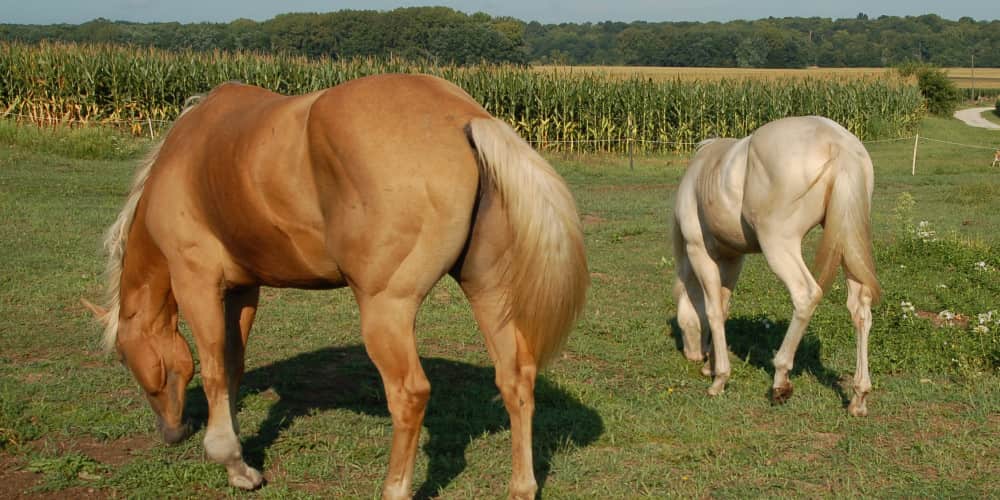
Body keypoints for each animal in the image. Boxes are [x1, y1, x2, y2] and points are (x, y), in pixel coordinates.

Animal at [82, 74, 589, 499]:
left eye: (125, 357)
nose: (172, 433)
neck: (186, 159)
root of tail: (466, 118)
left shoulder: (197, 280)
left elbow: (213, 369)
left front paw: (234, 464)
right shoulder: (244, 290)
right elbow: (233, 363)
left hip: (387, 310)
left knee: (410, 394)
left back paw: (393, 490)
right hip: (489, 292)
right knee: (515, 378)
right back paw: (521, 486)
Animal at [671, 115, 881, 416]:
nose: (693, 355)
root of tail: (838, 143)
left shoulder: (700, 252)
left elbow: (712, 310)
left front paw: (719, 379)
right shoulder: (733, 259)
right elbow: (723, 307)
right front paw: (711, 368)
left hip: (779, 244)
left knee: (806, 295)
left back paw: (780, 380)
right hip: (846, 242)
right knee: (860, 308)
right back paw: (858, 396)